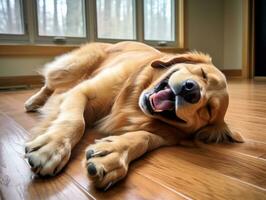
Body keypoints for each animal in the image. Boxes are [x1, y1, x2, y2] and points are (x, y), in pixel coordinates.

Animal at [23, 41, 243, 189]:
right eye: (202, 74)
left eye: (208, 110)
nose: (192, 90)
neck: (133, 102)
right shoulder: (82, 91)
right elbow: (76, 122)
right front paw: (52, 148)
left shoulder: (166, 135)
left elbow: (143, 138)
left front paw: (112, 154)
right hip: (72, 67)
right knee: (49, 84)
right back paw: (33, 101)